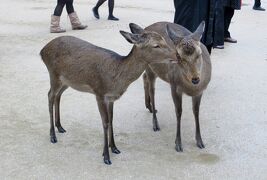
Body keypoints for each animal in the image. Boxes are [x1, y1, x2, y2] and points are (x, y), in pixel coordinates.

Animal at [39, 23, 178, 165]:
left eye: (165, 39)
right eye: (156, 45)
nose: (177, 56)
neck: (115, 79)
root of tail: (42, 51)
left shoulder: (111, 98)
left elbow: (111, 120)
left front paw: (114, 148)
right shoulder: (99, 93)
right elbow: (105, 122)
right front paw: (106, 156)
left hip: (67, 81)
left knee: (58, 96)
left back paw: (60, 127)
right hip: (53, 74)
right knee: (50, 95)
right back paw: (53, 136)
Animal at [130, 21, 214, 153]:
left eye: (199, 54)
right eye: (178, 56)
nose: (195, 79)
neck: (190, 89)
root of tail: (144, 30)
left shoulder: (200, 91)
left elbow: (196, 112)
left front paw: (200, 141)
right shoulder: (174, 86)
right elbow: (178, 112)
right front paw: (178, 144)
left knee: (144, 77)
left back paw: (149, 107)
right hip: (149, 66)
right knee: (151, 89)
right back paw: (155, 122)